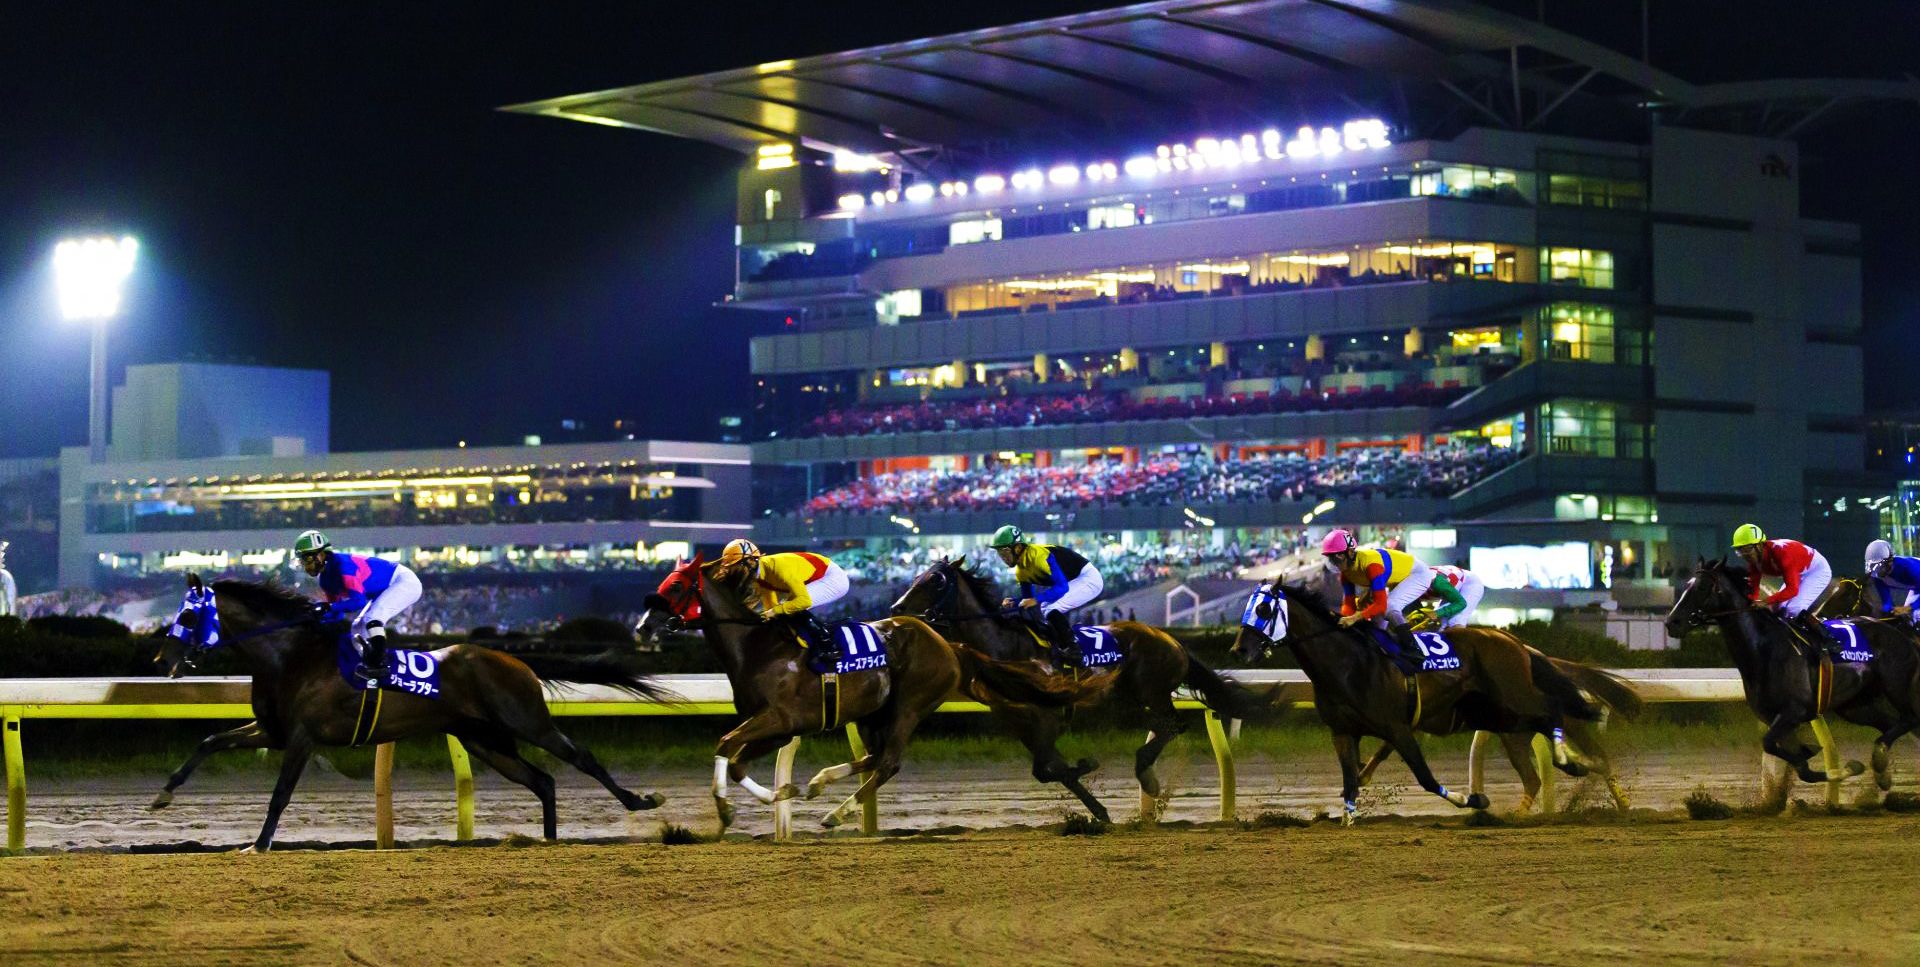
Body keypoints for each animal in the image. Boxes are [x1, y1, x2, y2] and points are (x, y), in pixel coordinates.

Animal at [153, 579, 672, 848]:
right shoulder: (271, 731)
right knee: (542, 780)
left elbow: (280, 794)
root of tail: (515, 658)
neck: (291, 655)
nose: (163, 660)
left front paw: (258, 844)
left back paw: (640, 802)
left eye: (187, 616)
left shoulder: (302, 737)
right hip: (486, 741)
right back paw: (548, 840)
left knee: (582, 758)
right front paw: (163, 795)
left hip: (527, 721)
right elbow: (209, 741)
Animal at [637, 556, 1105, 828]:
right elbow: (735, 762)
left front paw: (727, 807)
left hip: (909, 706)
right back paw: (821, 784)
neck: (756, 646)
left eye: (675, 587)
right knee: (876, 756)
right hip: (873, 712)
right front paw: (781, 793)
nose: (642, 627)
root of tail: (946, 643)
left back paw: (836, 812)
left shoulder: (780, 718)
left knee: (890, 761)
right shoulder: (775, 727)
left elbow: (724, 743)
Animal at [887, 556, 1274, 821]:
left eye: (935, 579)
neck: (1004, 646)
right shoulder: (1022, 722)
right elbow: (1047, 770)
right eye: (918, 576)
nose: (897, 607)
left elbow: (1050, 769)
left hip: (1149, 690)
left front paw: (1088, 765)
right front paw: (1098, 810)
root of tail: (1171, 640)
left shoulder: (1047, 714)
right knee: (1165, 726)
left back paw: (1146, 775)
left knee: (1173, 725)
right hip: (1132, 696)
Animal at [1228, 583, 1635, 825]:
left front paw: (1472, 799)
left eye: (1263, 611)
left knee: (1555, 712)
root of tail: (1514, 641)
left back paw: (1577, 765)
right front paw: (1347, 819)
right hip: (1507, 721)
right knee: (1535, 771)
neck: (1348, 663)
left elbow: (1424, 777)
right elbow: (1350, 781)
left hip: (1516, 699)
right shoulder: (1343, 732)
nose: (1239, 649)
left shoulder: (1397, 728)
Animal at [1658, 560, 1912, 794]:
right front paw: (1818, 758)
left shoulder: (1794, 712)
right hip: (1855, 706)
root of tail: (1896, 631)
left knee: (1909, 720)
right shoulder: (1775, 718)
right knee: (1891, 725)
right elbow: (1798, 766)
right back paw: (1882, 772)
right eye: (1687, 585)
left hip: (1899, 689)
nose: (1672, 622)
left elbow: (1769, 743)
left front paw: (1828, 760)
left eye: (1702, 587)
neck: (1763, 650)